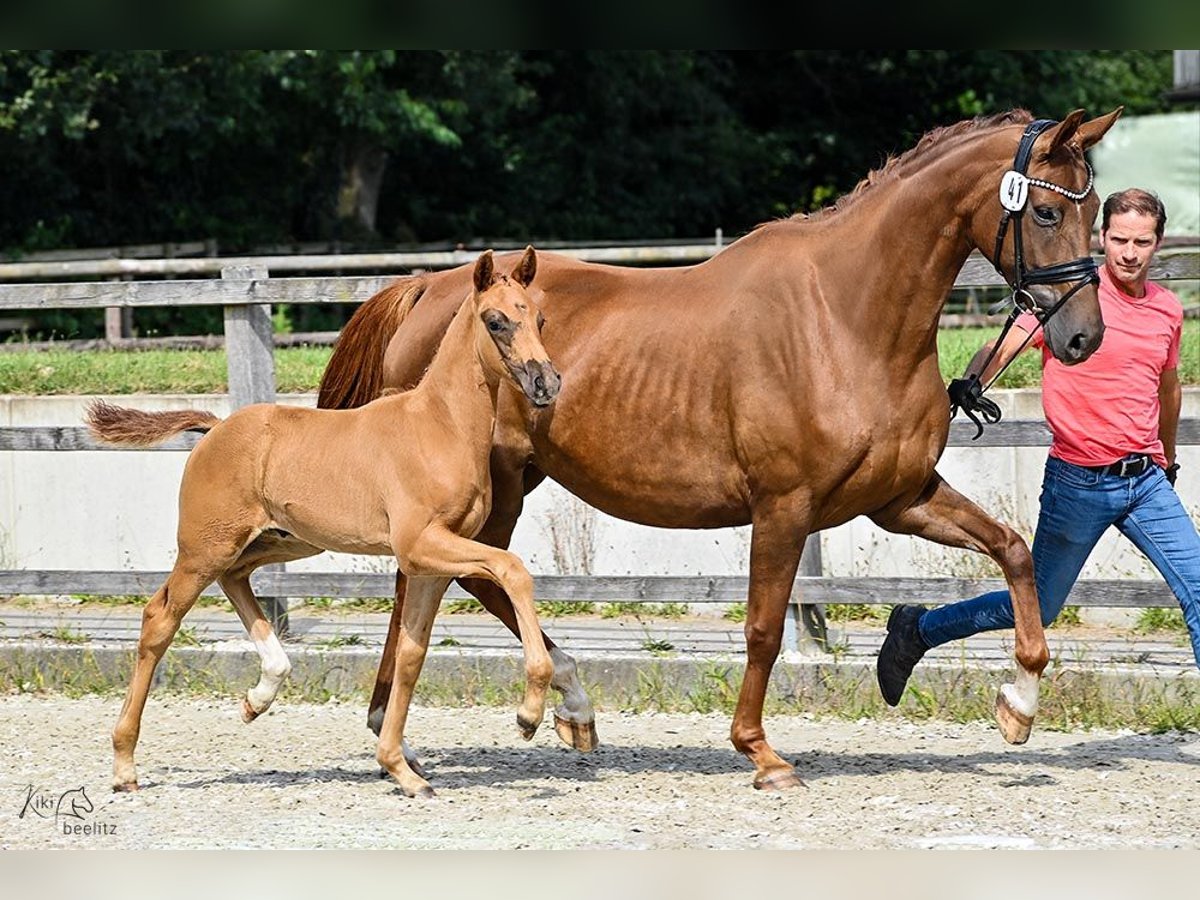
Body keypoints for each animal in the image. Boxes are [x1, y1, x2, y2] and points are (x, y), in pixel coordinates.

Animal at [90, 247, 561, 796]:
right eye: (495, 320)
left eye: (540, 317)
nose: (546, 383)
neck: (439, 427)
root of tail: (216, 427)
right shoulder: (420, 545)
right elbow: (514, 570)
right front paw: (529, 715)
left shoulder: (429, 565)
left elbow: (411, 654)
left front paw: (402, 769)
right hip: (204, 548)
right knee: (159, 619)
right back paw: (124, 764)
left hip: (284, 541)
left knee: (236, 578)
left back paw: (259, 696)